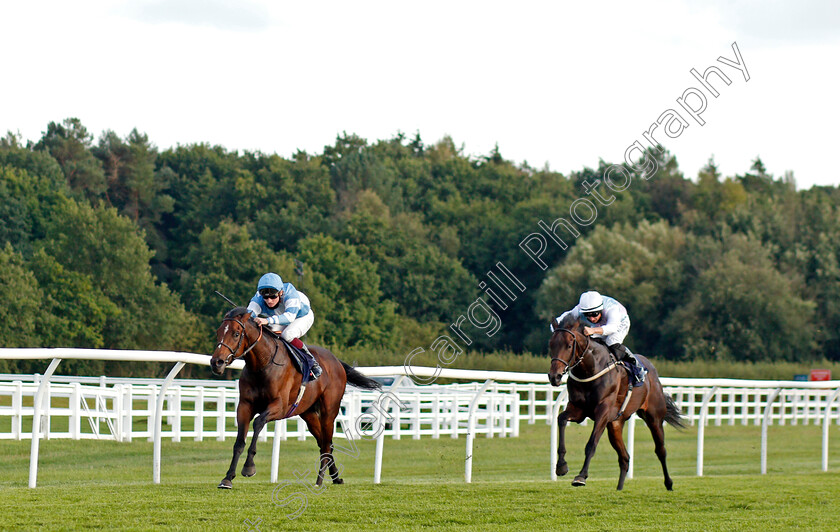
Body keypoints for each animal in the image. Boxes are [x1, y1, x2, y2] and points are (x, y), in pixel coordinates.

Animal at [210, 308, 380, 490]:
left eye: (236, 334)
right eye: (218, 332)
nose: (216, 362)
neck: (262, 365)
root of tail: (337, 362)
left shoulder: (279, 406)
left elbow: (258, 422)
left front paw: (249, 467)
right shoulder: (244, 406)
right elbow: (239, 442)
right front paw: (227, 478)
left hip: (329, 412)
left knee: (327, 444)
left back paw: (319, 481)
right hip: (308, 414)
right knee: (325, 443)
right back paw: (335, 477)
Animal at [552, 312, 684, 490]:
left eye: (568, 345)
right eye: (551, 345)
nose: (554, 376)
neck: (591, 368)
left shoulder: (603, 412)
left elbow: (591, 444)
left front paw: (581, 476)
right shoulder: (578, 409)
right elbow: (561, 419)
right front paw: (561, 466)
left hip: (654, 418)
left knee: (660, 450)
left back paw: (669, 483)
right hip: (615, 424)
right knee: (625, 457)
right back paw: (619, 488)